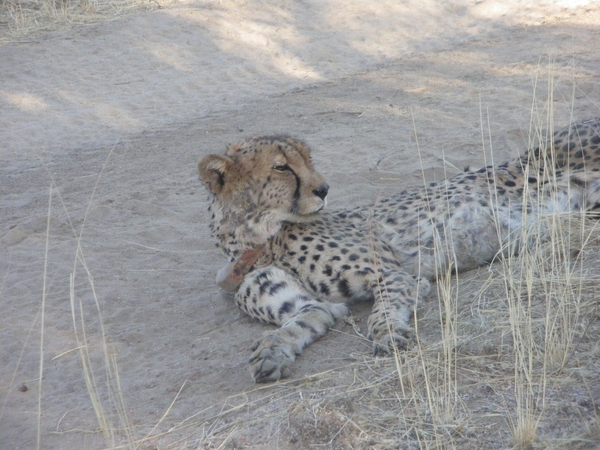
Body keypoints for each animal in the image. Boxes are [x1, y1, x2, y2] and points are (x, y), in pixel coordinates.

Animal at [198, 118, 600, 382]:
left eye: (308, 160)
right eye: (282, 167)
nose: (324, 189)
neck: (260, 240)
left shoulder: (392, 273)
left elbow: (382, 311)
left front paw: (388, 334)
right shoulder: (312, 303)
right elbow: (304, 319)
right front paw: (272, 351)